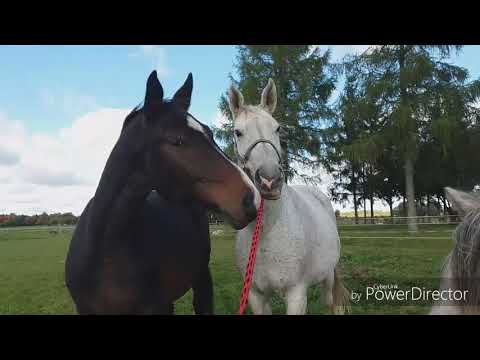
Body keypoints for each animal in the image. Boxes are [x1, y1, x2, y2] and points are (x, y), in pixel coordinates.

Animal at [228, 79, 348, 316]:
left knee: (330, 302)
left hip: (328, 276)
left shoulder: (296, 294)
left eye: (277, 128)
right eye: (238, 132)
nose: (270, 180)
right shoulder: (256, 295)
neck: (267, 232)